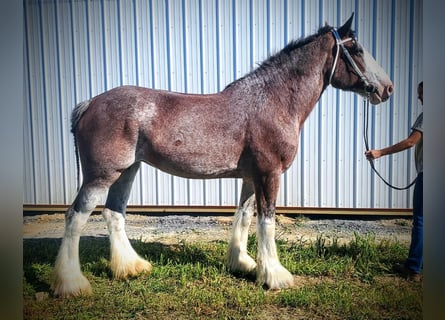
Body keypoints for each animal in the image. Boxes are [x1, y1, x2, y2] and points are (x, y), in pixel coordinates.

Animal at [51, 13, 392, 298]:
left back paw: (131, 267)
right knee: (75, 216)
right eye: (357, 50)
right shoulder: (269, 173)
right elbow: (267, 221)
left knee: (114, 213)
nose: (387, 89)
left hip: (127, 171)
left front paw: (244, 264)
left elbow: (244, 217)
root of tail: (89, 104)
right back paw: (71, 283)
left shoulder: (251, 177)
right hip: (101, 175)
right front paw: (275, 276)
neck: (273, 101)